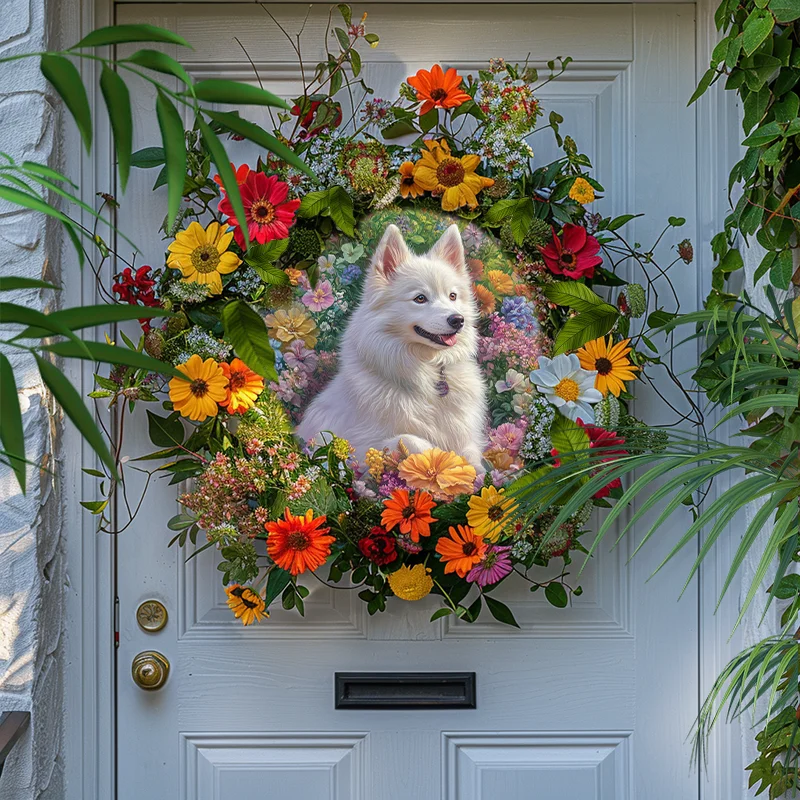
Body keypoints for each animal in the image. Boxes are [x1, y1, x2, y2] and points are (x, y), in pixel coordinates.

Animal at [296, 220, 488, 468]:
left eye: (452, 296)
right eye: (420, 298)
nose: (458, 320)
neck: (427, 373)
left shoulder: (467, 436)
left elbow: (472, 456)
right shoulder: (355, 447)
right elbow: (415, 441)